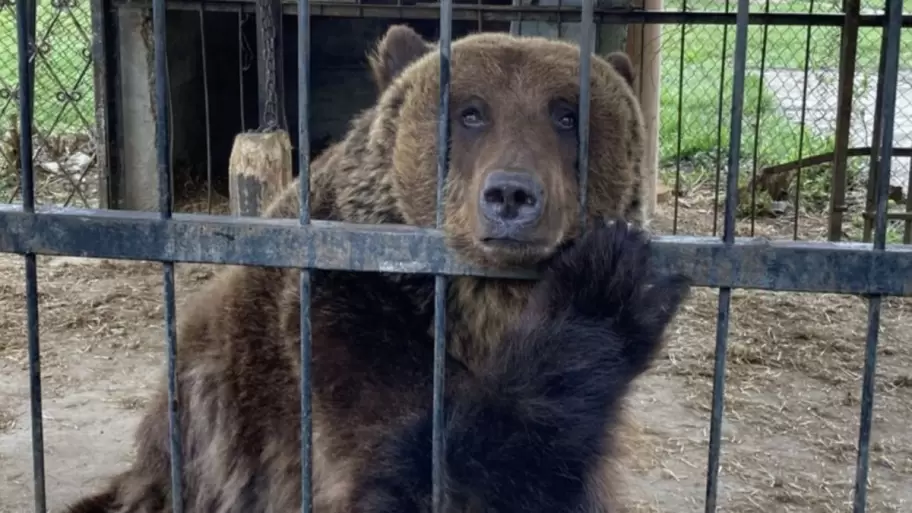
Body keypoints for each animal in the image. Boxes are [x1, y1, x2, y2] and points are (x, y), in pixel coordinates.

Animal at [62, 24, 657, 513]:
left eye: (566, 114)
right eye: (471, 112)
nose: (512, 194)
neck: (478, 313)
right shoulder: (344, 318)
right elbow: (412, 476)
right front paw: (606, 282)